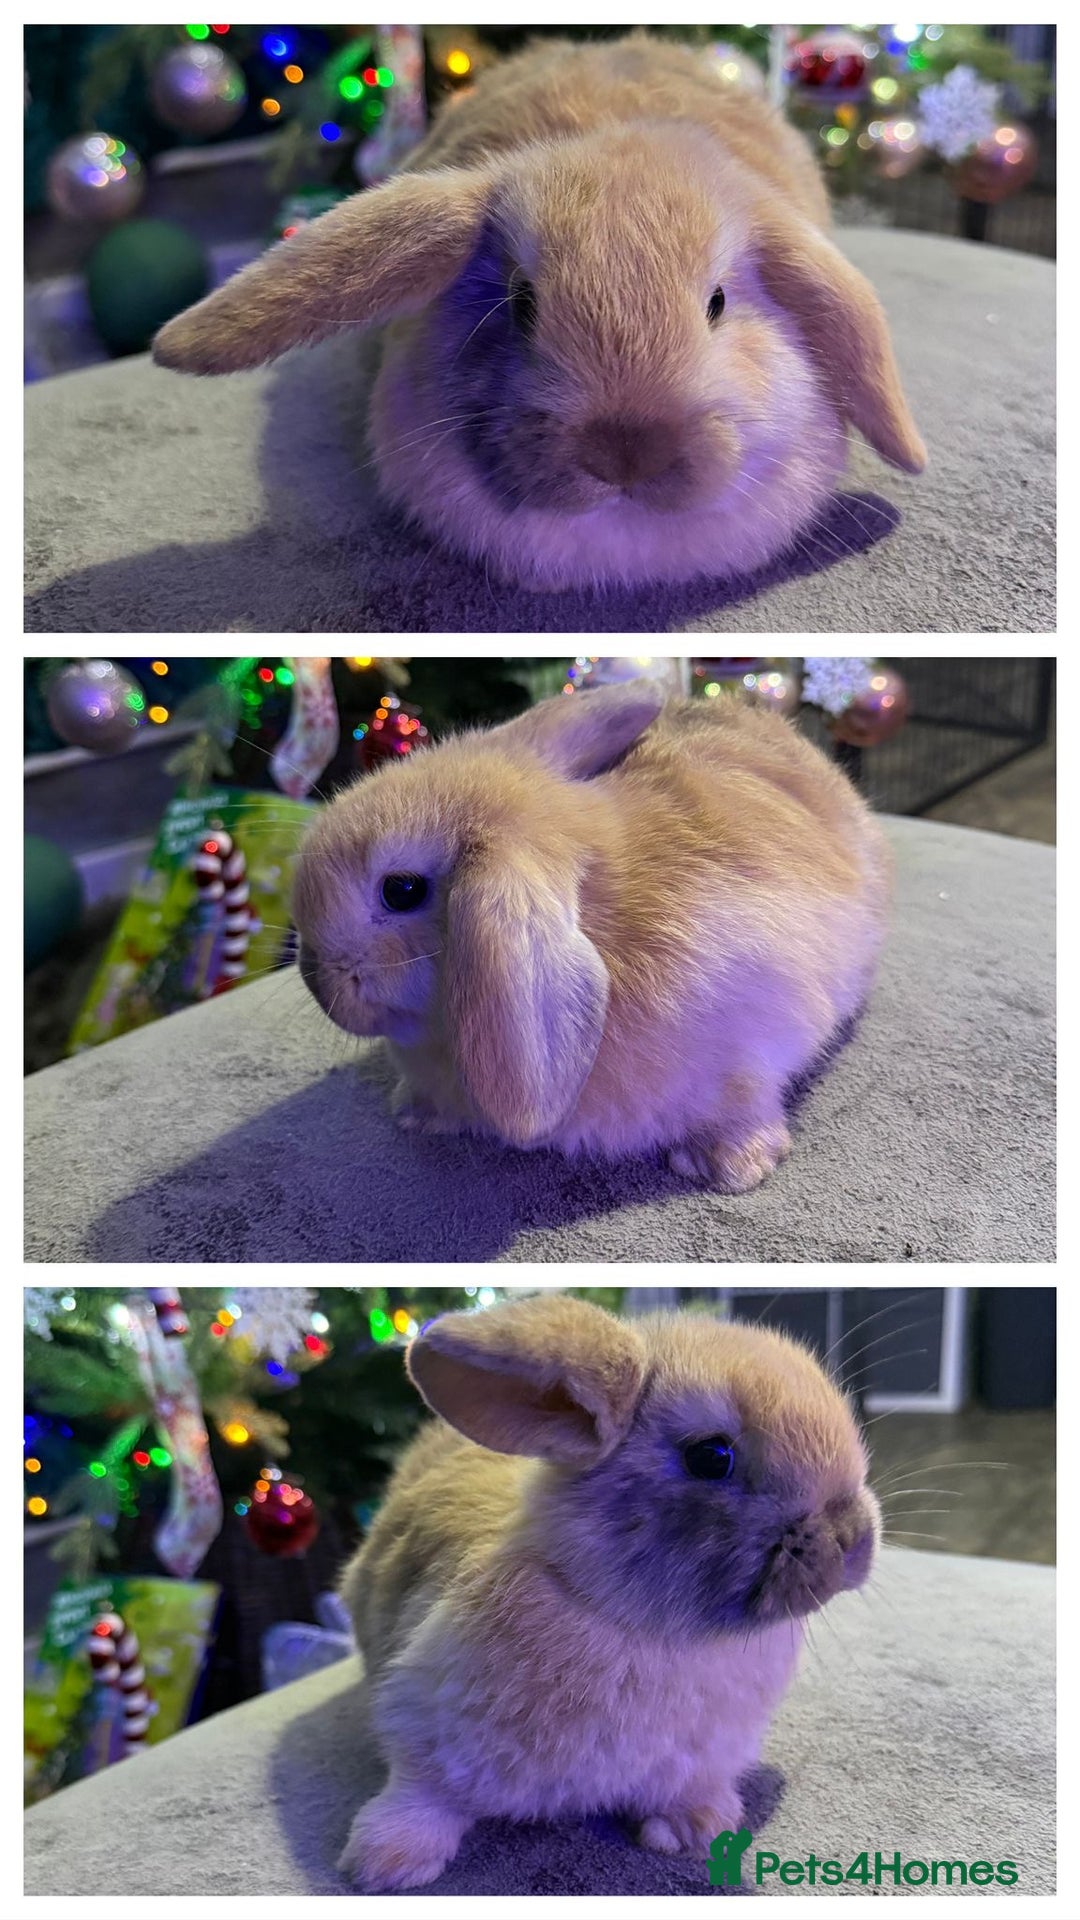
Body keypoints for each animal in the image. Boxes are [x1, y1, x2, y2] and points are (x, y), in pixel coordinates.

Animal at [291, 677, 890, 1194]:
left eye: (402, 890)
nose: (315, 979)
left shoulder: (753, 1043)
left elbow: (745, 1104)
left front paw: (730, 1167)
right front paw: (413, 1114)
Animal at [336, 1291, 881, 1889]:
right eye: (712, 1456)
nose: (852, 1539)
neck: (641, 1626)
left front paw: (697, 1830)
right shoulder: (421, 1728)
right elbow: (423, 1794)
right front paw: (384, 1864)